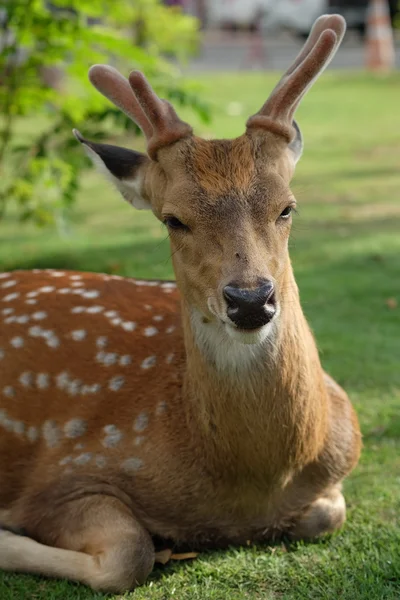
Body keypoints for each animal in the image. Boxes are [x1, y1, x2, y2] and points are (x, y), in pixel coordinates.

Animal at [0, 15, 360, 596]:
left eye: (287, 207)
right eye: (173, 219)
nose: (249, 300)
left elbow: (330, 513)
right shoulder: (62, 474)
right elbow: (129, 555)